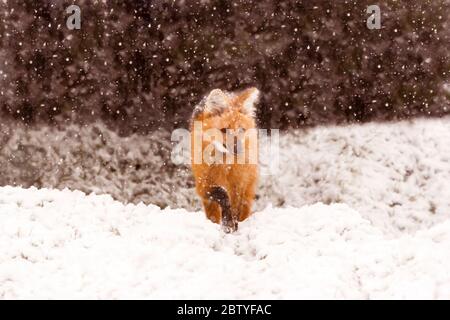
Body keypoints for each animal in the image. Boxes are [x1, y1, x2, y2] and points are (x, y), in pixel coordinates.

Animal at [190, 87, 260, 232]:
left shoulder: (238, 184)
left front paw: (232, 225)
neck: (225, 166)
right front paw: (227, 224)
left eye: (241, 129)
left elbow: (235, 207)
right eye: (224, 130)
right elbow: (222, 195)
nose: (237, 149)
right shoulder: (203, 185)